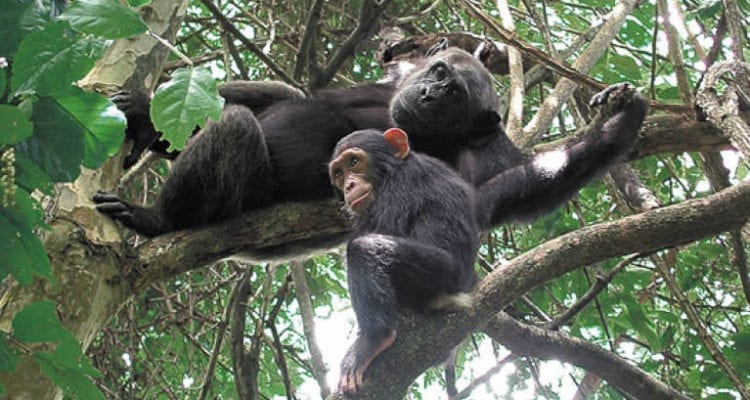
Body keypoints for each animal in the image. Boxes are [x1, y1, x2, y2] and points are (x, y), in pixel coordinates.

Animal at [328, 128, 476, 394]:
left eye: (354, 162)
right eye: (338, 173)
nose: (349, 185)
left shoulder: (399, 189)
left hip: (440, 272)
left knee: (362, 249)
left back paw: (374, 340)